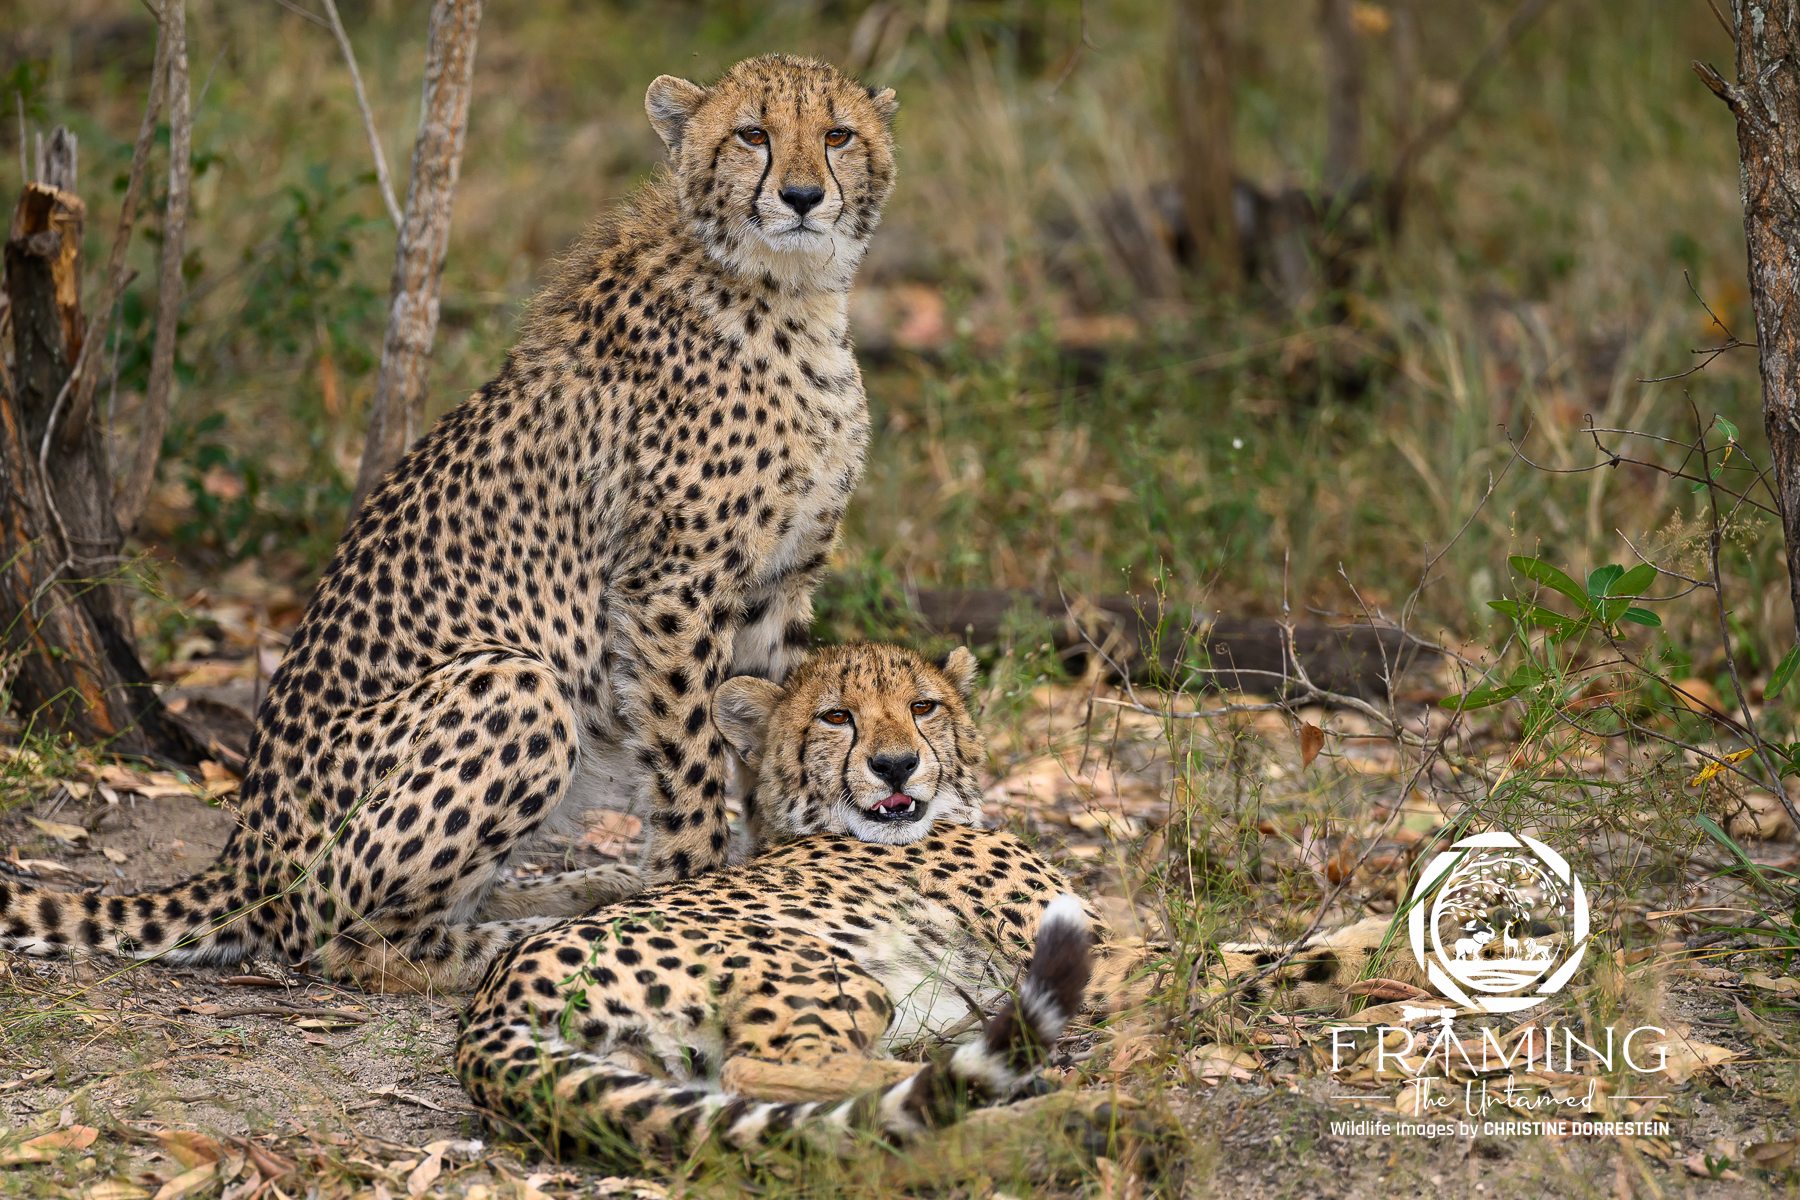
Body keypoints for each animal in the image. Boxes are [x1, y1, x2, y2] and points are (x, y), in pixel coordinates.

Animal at [0, 54, 900, 992]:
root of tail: (245, 848)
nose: (802, 195)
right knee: (333, 936)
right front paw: (696, 895)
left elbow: (777, 730)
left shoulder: (781, 580)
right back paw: (526, 937)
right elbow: (690, 764)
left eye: (837, 134)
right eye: (752, 134)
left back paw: (585, 891)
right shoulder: (674, 588)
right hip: (516, 686)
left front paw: (780, 871)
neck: (791, 295)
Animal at [454, 642, 1146, 1165]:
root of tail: (489, 1002)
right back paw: (1057, 1095)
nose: (896, 765)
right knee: (777, 1076)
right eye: (836, 717)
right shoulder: (1096, 951)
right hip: (826, 970)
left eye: (923, 707)